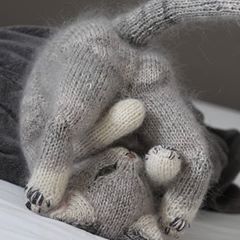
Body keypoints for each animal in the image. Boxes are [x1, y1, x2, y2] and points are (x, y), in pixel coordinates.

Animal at [20, 0, 240, 237]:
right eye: (105, 171)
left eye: (140, 180)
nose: (129, 155)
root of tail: (119, 32)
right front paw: (133, 121)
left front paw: (160, 157)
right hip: (134, 80)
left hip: (95, 70)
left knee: (64, 121)